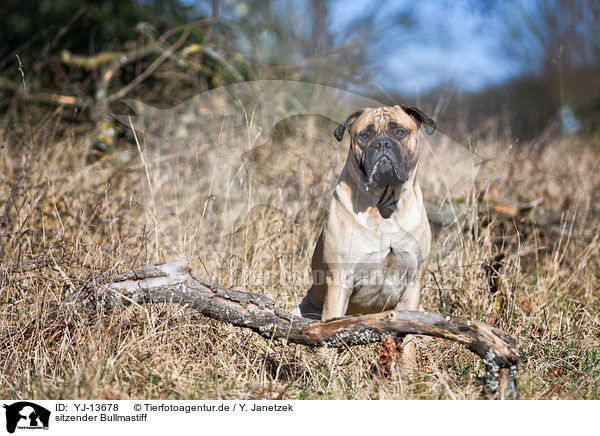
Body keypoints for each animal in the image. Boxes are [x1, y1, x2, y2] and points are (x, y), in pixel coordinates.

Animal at [296, 106, 436, 364]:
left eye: (400, 132)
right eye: (364, 135)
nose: (382, 143)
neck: (385, 207)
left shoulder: (413, 283)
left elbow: (409, 340)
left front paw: (408, 368)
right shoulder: (339, 279)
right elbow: (328, 327)